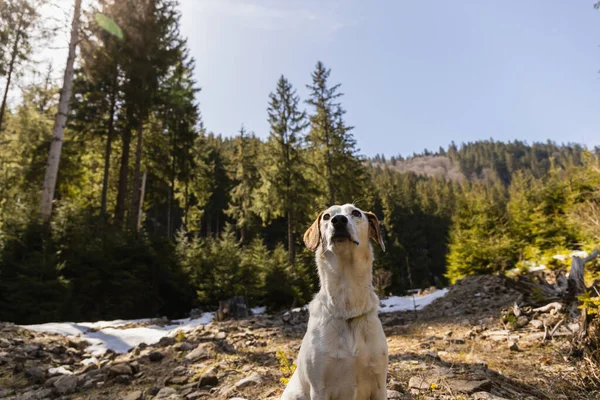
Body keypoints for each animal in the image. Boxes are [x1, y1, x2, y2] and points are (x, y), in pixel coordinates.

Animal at [282, 205, 390, 398]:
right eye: (326, 216)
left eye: (356, 213)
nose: (338, 220)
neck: (347, 309)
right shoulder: (319, 387)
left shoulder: (379, 383)